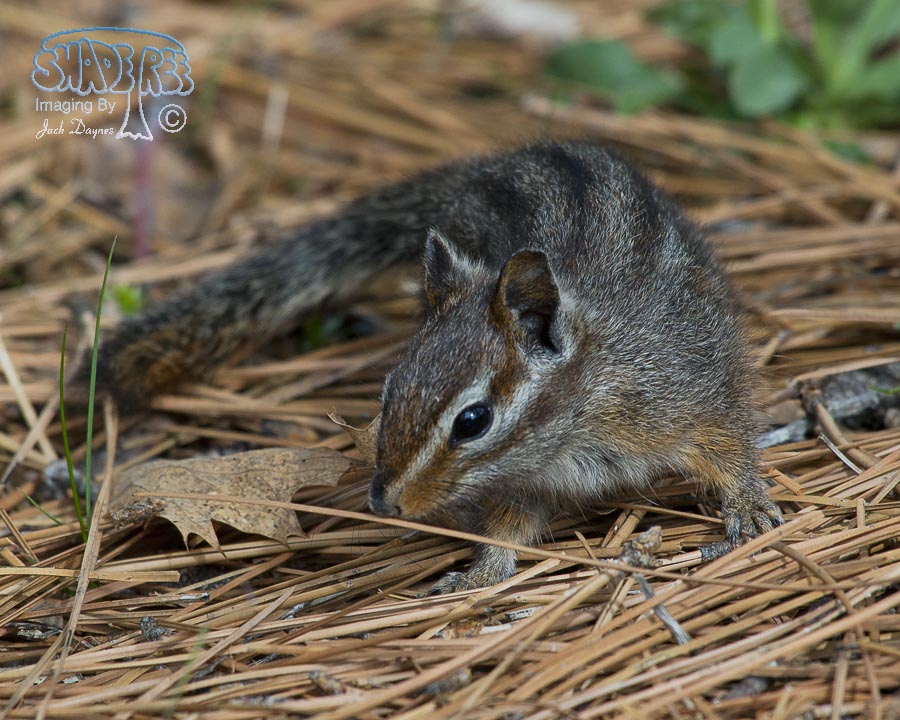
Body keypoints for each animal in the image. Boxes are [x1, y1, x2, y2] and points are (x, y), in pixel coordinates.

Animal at [85, 141, 782, 593]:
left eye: (473, 421)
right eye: (387, 394)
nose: (383, 501)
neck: (574, 421)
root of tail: (481, 170)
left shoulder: (683, 395)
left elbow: (729, 442)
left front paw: (750, 505)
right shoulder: (523, 485)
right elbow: (509, 530)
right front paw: (481, 570)